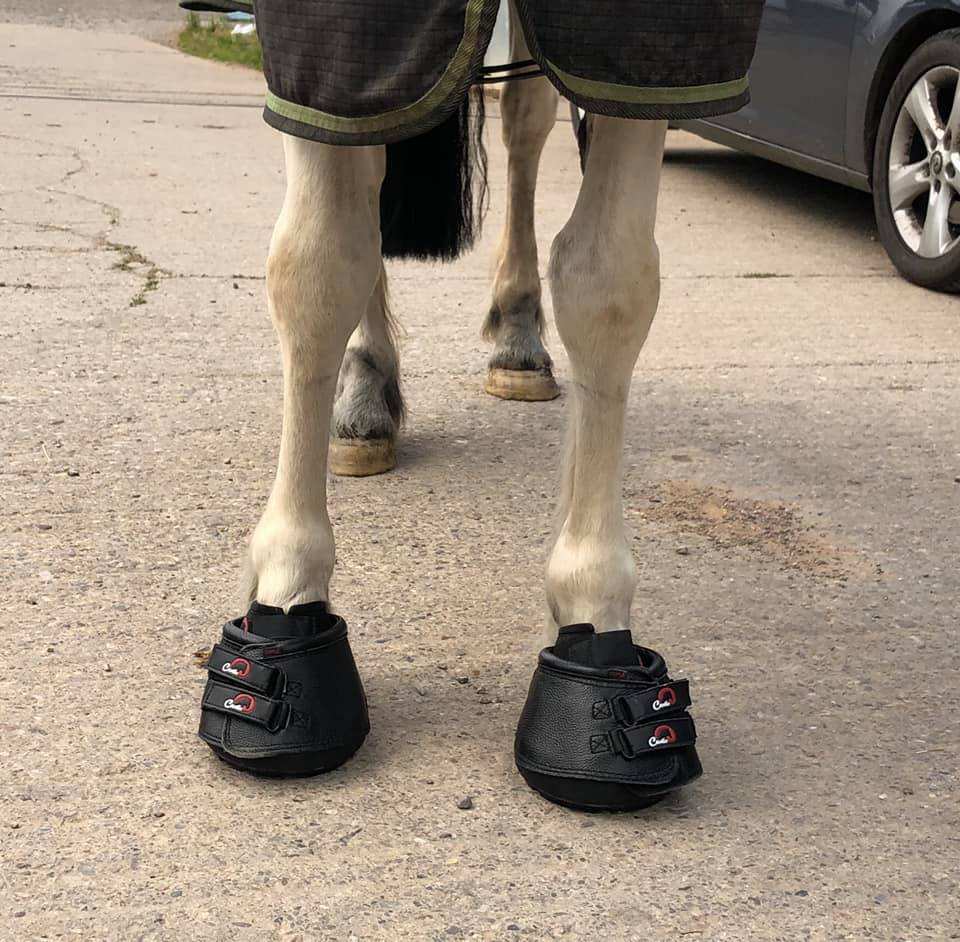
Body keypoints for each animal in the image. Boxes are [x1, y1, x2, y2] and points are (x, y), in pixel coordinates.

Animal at [191, 0, 763, 810]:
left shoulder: (653, 47)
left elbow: (607, 278)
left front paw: (593, 603)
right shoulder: (333, 45)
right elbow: (319, 261)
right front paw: (287, 588)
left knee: (524, 120)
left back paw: (517, 336)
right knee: (372, 175)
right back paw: (363, 393)